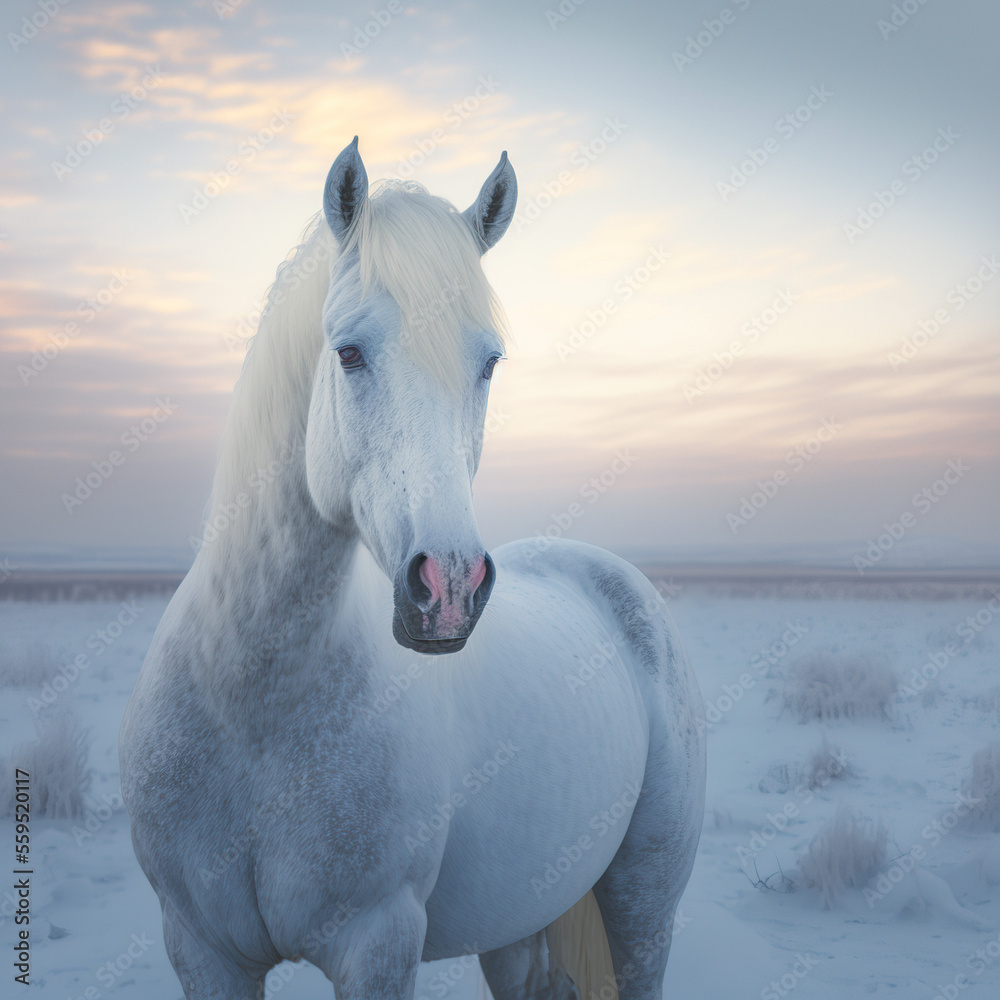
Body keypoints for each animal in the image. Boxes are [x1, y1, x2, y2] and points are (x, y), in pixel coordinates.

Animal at [119, 137, 706, 1000]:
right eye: (349, 352)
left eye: (489, 362)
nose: (450, 587)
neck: (250, 701)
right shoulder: (201, 949)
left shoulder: (378, 944)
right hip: (515, 927)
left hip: (643, 901)